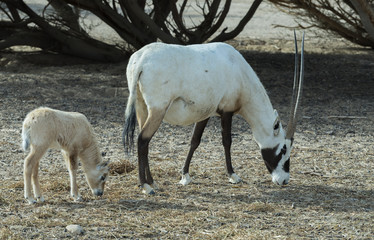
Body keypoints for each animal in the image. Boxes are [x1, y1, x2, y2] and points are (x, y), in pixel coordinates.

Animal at [122, 31, 304, 194]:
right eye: (283, 149)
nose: (284, 180)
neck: (239, 71)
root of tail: (141, 60)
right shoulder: (227, 111)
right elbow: (227, 141)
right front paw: (233, 175)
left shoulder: (206, 113)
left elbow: (195, 141)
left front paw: (185, 176)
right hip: (158, 110)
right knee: (142, 139)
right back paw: (146, 186)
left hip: (142, 108)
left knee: (144, 141)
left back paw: (152, 182)